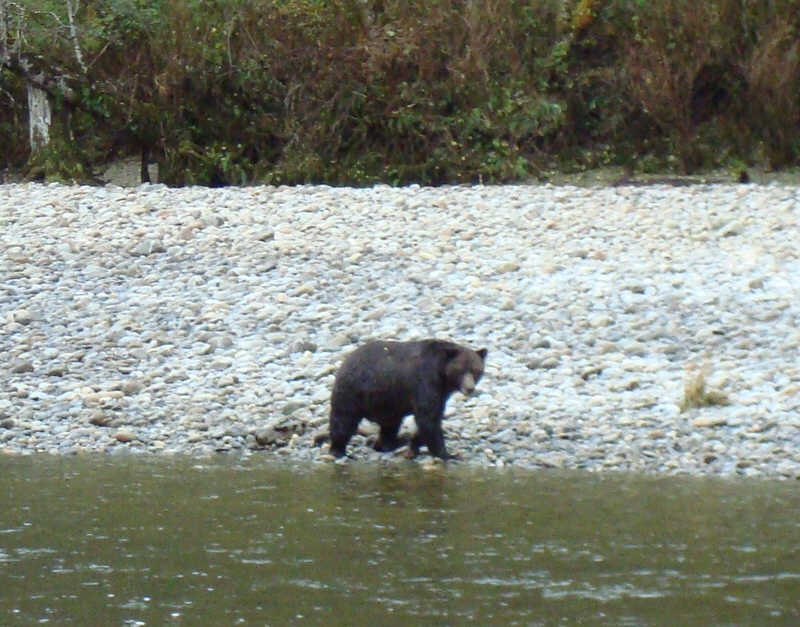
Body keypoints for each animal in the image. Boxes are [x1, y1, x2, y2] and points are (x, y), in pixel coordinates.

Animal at [328, 339, 487, 460]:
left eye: (476, 370)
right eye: (461, 370)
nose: (469, 388)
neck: (443, 376)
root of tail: (345, 360)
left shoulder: (441, 393)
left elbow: (433, 416)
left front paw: (414, 443)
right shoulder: (425, 381)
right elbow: (427, 417)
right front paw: (447, 453)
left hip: (387, 402)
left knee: (390, 425)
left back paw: (387, 444)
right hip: (352, 391)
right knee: (343, 420)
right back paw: (338, 450)